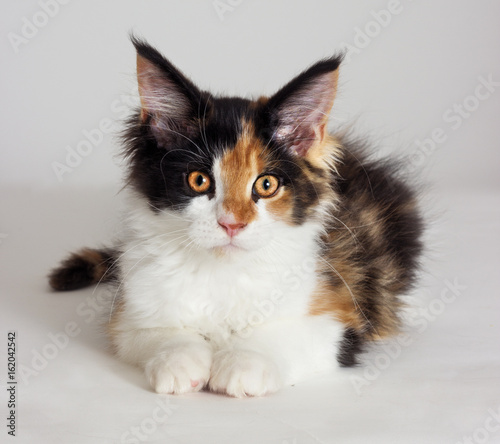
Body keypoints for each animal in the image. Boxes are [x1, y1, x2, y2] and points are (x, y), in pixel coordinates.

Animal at [47, 38, 422, 398]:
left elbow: (281, 335)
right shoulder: (130, 317)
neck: (222, 272)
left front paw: (244, 364)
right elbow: (162, 331)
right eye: (199, 180)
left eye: (266, 185)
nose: (232, 224)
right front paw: (180, 363)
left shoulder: (339, 315)